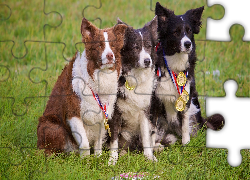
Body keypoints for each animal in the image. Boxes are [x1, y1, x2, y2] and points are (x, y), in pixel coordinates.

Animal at [37, 17, 127, 156]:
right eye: (99, 45)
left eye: (112, 46)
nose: (110, 56)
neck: (95, 78)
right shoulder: (73, 114)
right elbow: (84, 144)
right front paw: (86, 160)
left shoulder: (102, 116)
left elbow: (98, 143)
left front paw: (98, 157)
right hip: (52, 126)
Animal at [108, 16, 158, 165]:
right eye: (136, 47)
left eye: (149, 46)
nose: (147, 61)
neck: (135, 79)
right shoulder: (115, 114)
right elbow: (114, 140)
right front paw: (112, 159)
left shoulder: (145, 112)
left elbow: (146, 136)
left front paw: (149, 157)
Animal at [152, 2, 225, 146]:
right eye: (176, 32)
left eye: (189, 31)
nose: (188, 44)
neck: (175, 61)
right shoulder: (155, 98)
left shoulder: (186, 96)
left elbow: (185, 122)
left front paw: (186, 143)